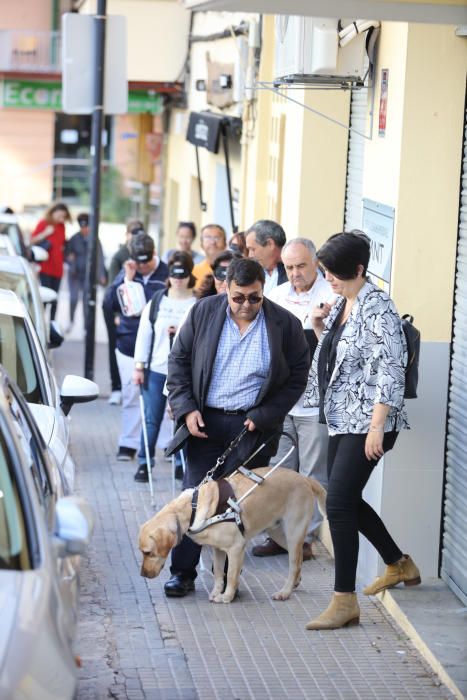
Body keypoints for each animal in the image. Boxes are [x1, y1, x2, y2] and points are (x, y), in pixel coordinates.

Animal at [139, 468, 328, 604]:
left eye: (148, 553)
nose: (142, 574)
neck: (193, 508)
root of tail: (305, 479)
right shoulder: (218, 549)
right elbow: (218, 573)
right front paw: (216, 592)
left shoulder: (236, 548)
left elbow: (230, 574)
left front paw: (227, 596)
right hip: (278, 532)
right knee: (299, 557)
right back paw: (296, 581)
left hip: (293, 531)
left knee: (294, 563)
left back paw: (285, 592)